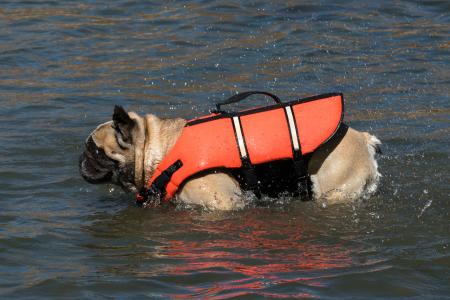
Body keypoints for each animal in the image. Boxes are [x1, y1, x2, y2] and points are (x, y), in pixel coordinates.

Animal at [80, 95, 380, 210]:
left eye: (95, 150)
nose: (80, 159)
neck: (160, 150)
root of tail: (363, 139)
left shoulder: (222, 202)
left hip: (335, 188)